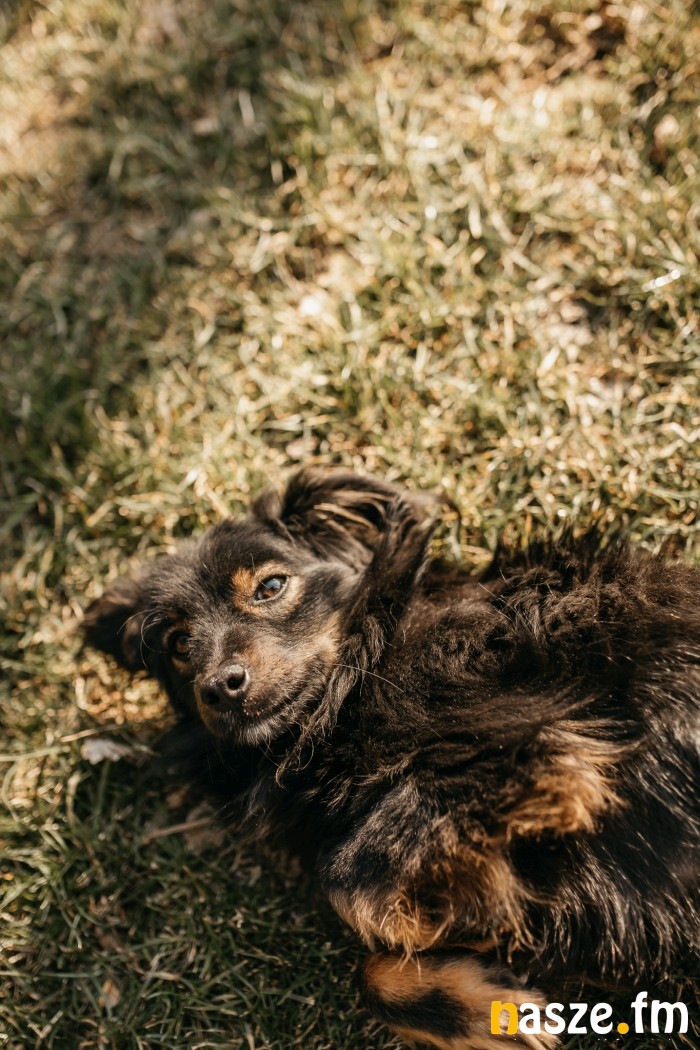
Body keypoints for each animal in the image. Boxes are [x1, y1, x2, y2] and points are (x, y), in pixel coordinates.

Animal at [83, 469, 699, 1049]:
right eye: (179, 645)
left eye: (271, 586)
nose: (218, 686)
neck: (348, 695)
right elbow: (369, 973)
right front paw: (490, 1007)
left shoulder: (530, 739)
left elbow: (350, 877)